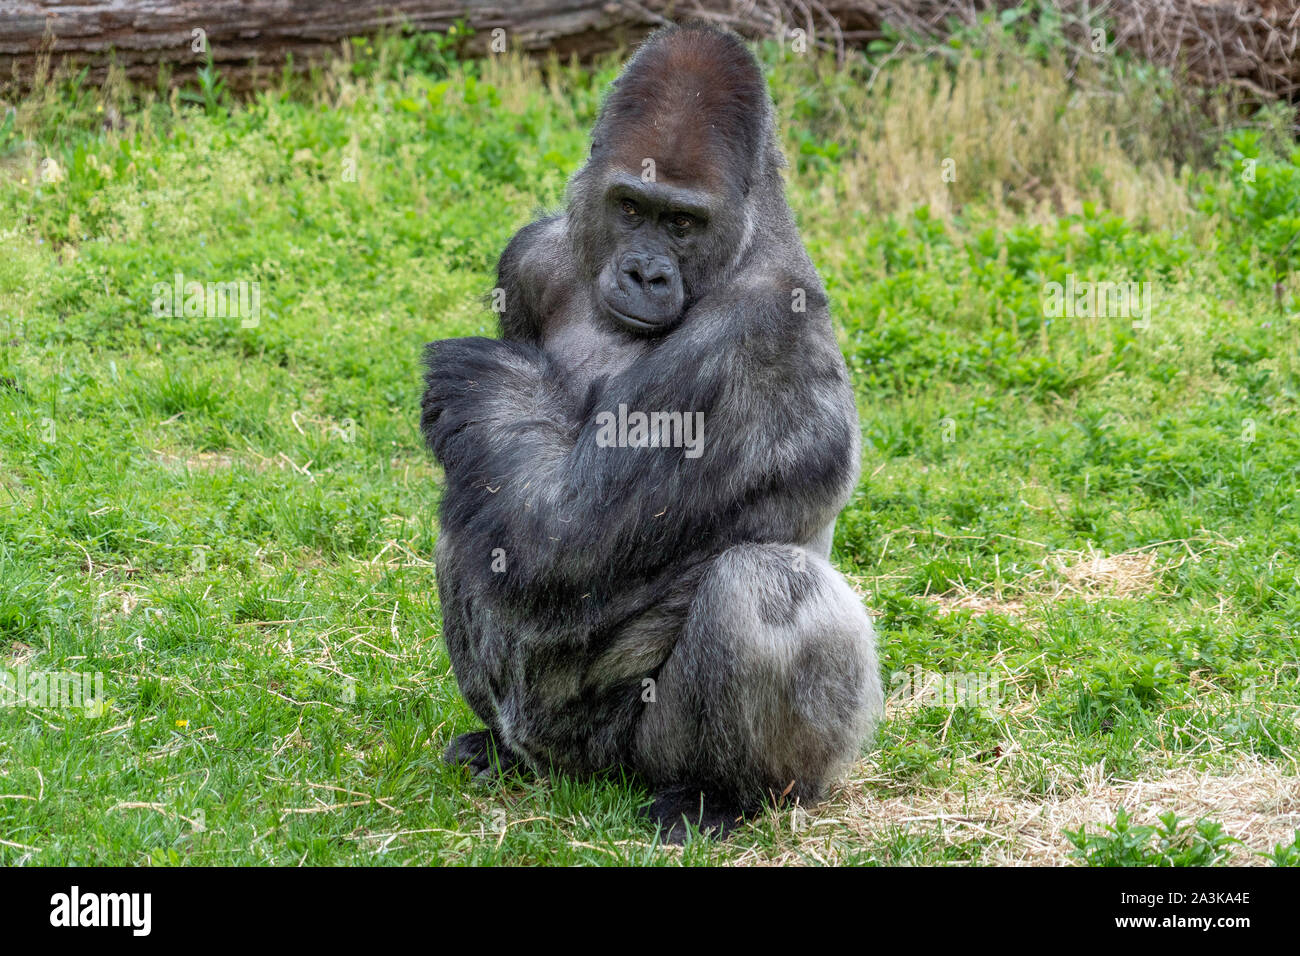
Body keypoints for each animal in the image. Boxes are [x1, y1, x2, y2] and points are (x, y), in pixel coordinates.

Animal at [421, 23, 882, 842]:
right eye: (631, 208)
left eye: (683, 222)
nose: (644, 274)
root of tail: (568, 773)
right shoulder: (532, 255)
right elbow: (505, 501)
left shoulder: (760, 334)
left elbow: (559, 534)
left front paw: (481, 383)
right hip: (545, 746)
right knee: (467, 510)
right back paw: (499, 750)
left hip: (630, 757)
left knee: (771, 588)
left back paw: (722, 795)